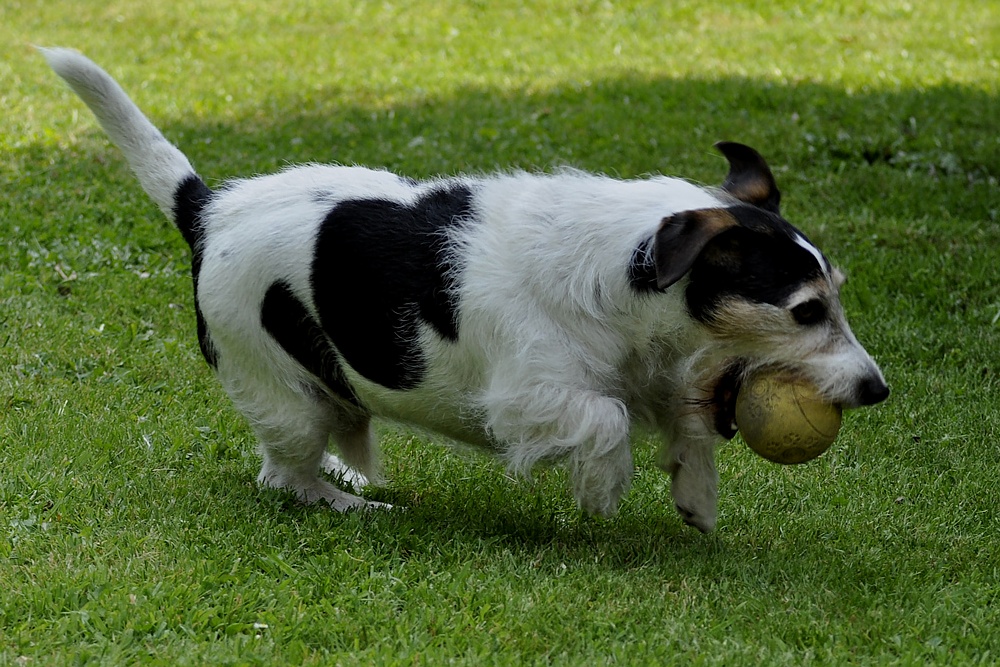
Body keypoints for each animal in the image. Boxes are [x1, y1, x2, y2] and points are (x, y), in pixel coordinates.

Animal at [45, 48, 892, 532]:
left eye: (838, 294)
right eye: (805, 310)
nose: (879, 388)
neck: (623, 270)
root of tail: (208, 207)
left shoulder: (659, 373)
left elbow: (681, 418)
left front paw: (696, 491)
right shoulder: (528, 394)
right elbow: (608, 420)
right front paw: (603, 489)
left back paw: (353, 474)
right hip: (280, 389)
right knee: (284, 476)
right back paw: (353, 505)